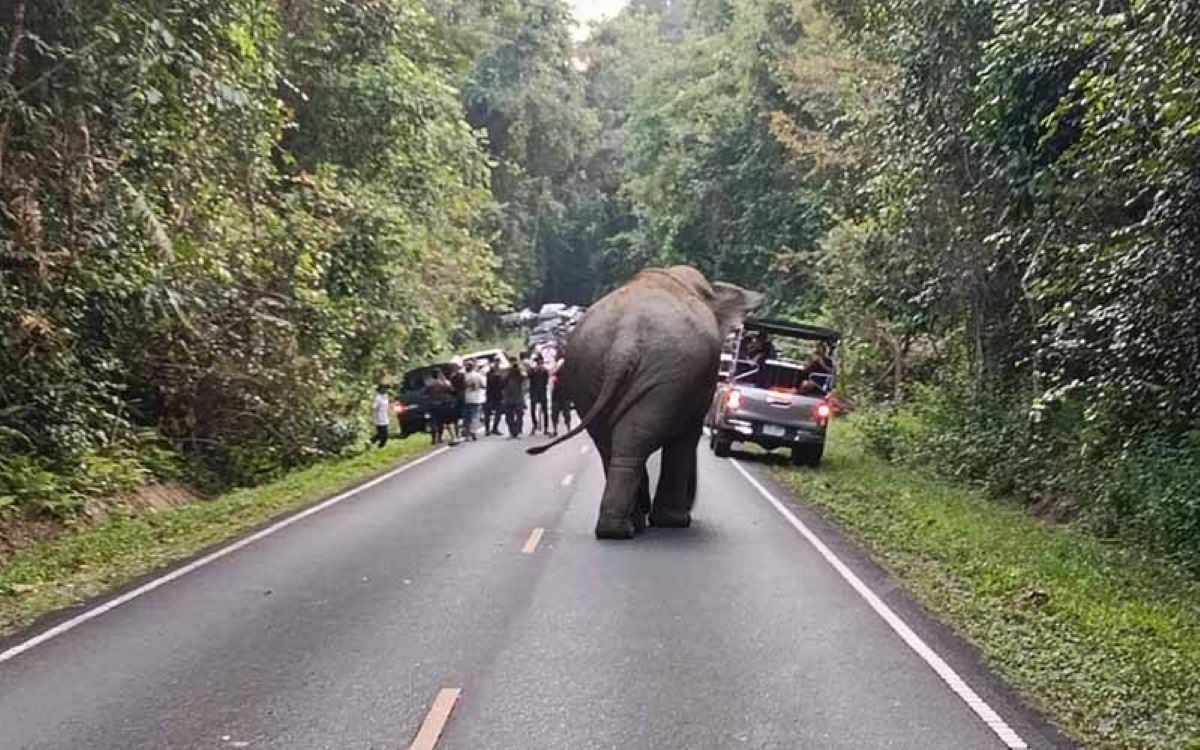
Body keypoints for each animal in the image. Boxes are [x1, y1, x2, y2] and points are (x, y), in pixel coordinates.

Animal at [525, 266, 758, 535]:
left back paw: (619, 528)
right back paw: (631, 527)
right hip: (662, 373)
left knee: (614, 442)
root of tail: (624, 342)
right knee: (632, 441)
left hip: (596, 370)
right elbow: (687, 437)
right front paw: (676, 521)